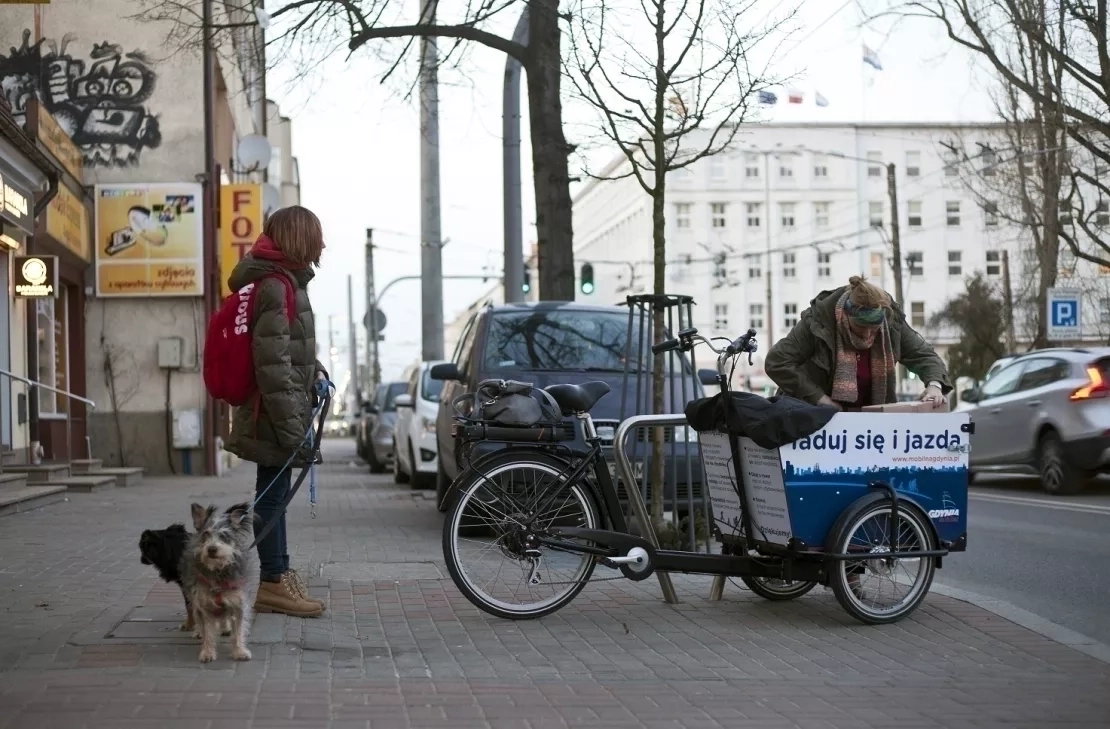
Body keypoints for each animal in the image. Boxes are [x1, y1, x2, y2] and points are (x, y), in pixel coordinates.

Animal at [182, 503, 259, 661]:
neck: (217, 572)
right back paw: (198, 631)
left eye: (224, 536)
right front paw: (207, 652)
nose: (212, 549)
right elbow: (207, 633)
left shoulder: (238, 603)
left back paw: (225, 628)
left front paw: (239, 651)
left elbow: (238, 631)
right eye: (205, 534)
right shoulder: (203, 606)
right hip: (193, 598)